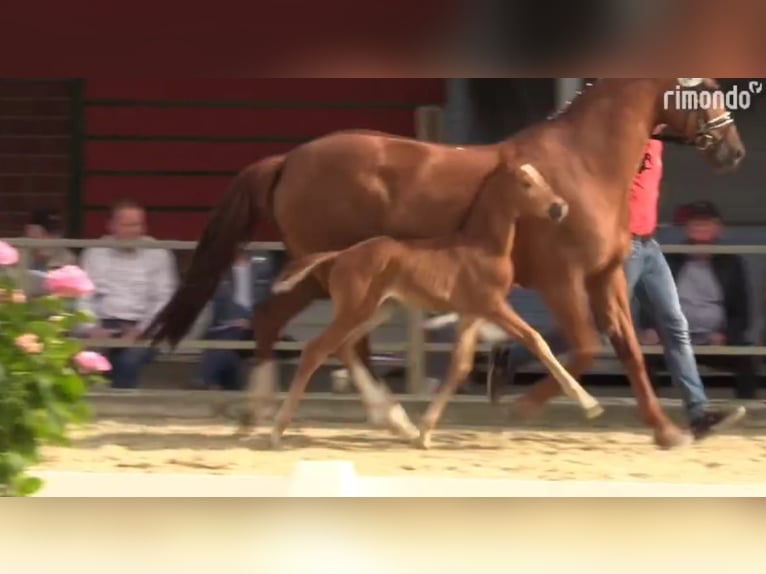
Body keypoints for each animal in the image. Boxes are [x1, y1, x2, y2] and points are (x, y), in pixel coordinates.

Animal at [268, 162, 604, 450]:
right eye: (526, 183)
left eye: (542, 178)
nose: (560, 207)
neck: (482, 246)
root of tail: (340, 255)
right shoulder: (493, 306)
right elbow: (536, 339)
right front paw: (590, 405)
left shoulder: (471, 314)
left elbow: (460, 366)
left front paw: (424, 433)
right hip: (356, 310)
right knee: (317, 349)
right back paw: (277, 430)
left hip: (379, 309)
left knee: (345, 347)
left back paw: (397, 423)